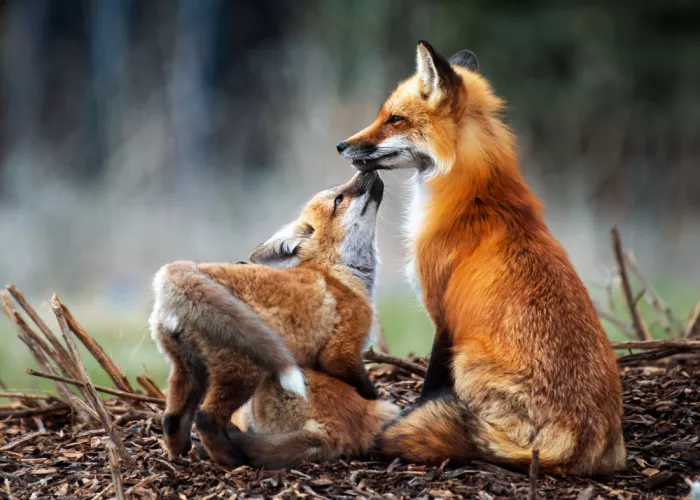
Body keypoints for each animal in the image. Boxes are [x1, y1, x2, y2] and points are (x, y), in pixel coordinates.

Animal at [149, 171, 385, 465]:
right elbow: (362, 388)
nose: (368, 170)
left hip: (189, 369)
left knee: (172, 418)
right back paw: (234, 460)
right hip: (243, 372)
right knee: (206, 419)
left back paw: (180, 455)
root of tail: (181, 270)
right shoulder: (341, 352)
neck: (338, 272)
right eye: (339, 199)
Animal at [336, 41, 625, 475]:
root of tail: (581, 440)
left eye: (394, 119)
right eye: (383, 115)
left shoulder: (443, 313)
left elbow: (431, 383)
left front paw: (413, 412)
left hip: (468, 357)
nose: (341, 145)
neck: (477, 196)